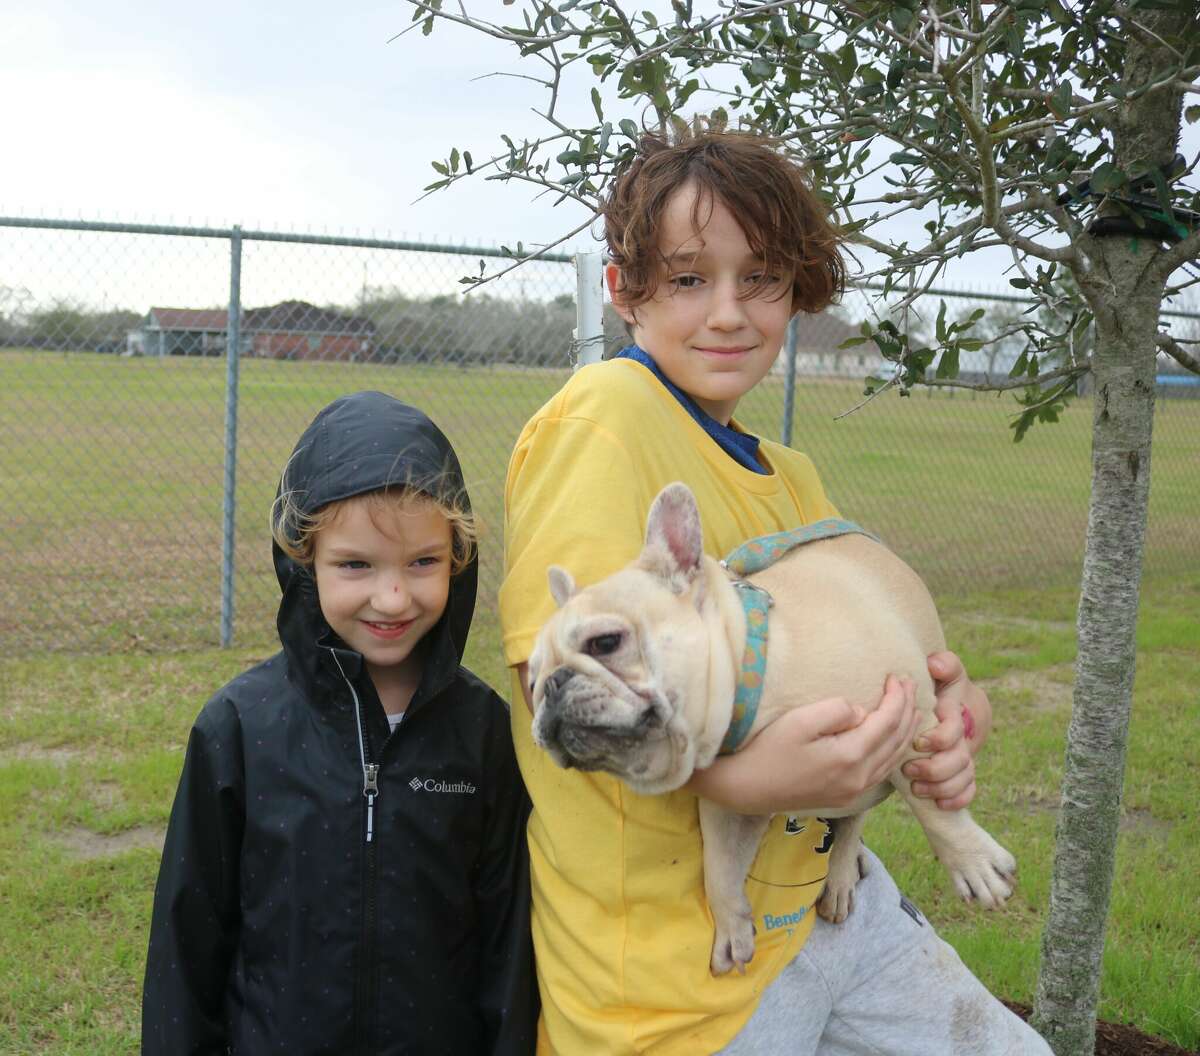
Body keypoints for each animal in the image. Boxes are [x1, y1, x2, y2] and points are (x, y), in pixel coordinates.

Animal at [530, 482, 1017, 979]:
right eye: (530, 680)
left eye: (606, 642)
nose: (550, 685)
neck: (756, 672)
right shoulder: (734, 804)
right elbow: (720, 871)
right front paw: (732, 931)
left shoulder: (913, 715)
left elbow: (933, 803)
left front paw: (972, 863)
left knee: (859, 816)